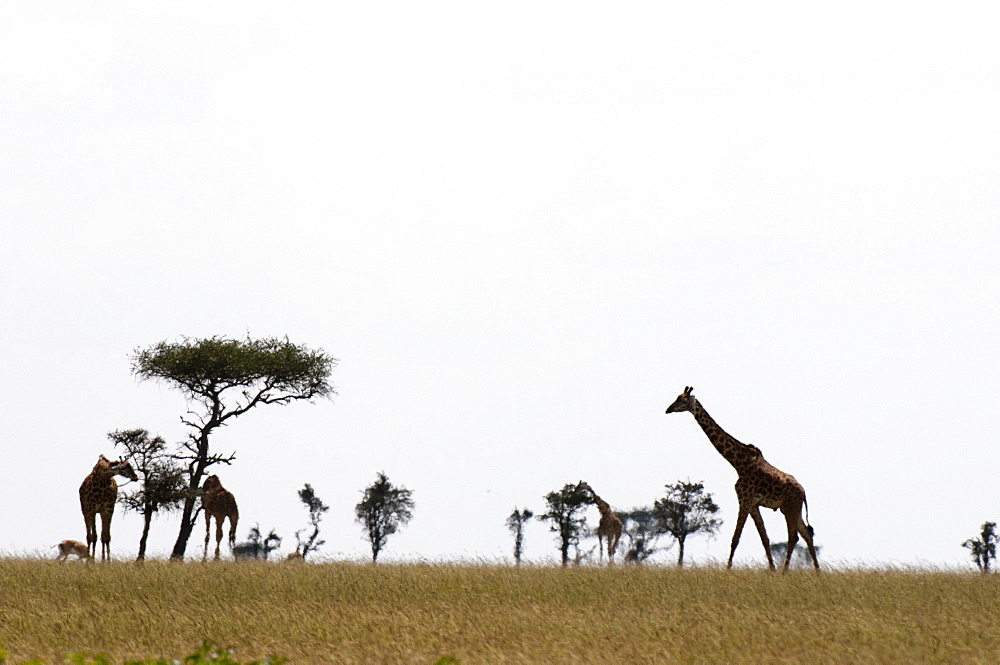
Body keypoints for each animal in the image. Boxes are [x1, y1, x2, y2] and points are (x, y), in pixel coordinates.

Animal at [664, 384, 820, 572]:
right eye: (677, 397)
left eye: (683, 400)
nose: (667, 409)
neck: (737, 463)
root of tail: (803, 492)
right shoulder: (753, 504)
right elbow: (764, 538)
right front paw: (771, 570)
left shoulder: (744, 500)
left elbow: (735, 538)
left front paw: (727, 570)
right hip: (791, 509)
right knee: (807, 534)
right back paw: (817, 572)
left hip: (790, 508)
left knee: (794, 537)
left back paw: (785, 572)